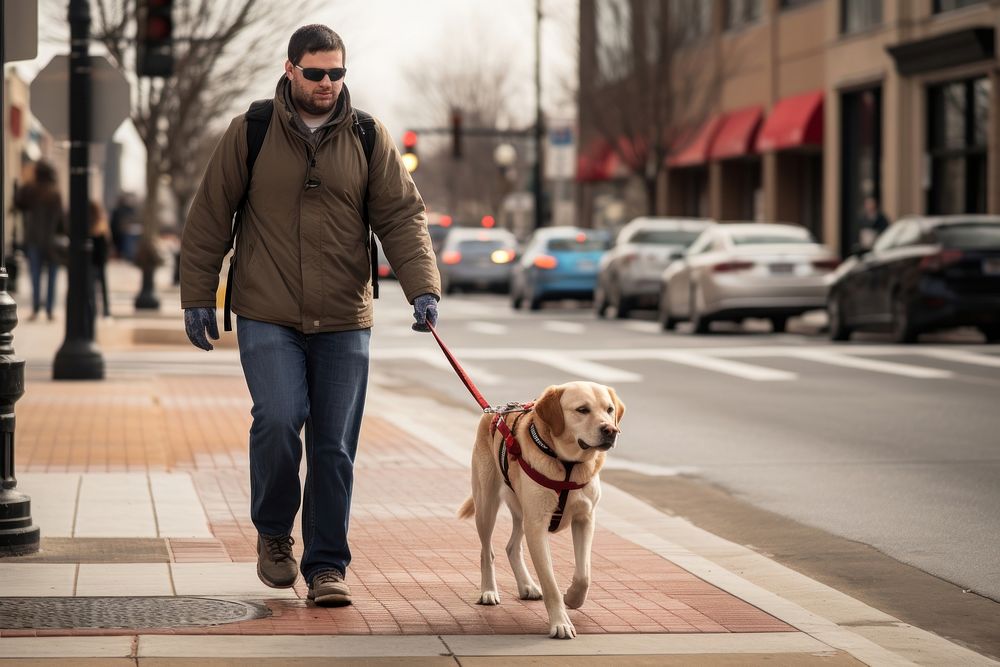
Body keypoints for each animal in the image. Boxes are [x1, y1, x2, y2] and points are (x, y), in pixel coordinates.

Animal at [458, 380, 620, 636]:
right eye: (582, 410)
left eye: (609, 409)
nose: (611, 431)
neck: (568, 465)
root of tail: (493, 412)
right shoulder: (537, 525)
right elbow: (550, 582)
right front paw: (561, 623)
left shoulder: (585, 519)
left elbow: (584, 574)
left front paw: (573, 598)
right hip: (486, 505)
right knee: (487, 551)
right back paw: (489, 591)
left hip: (522, 511)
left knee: (512, 546)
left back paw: (527, 586)